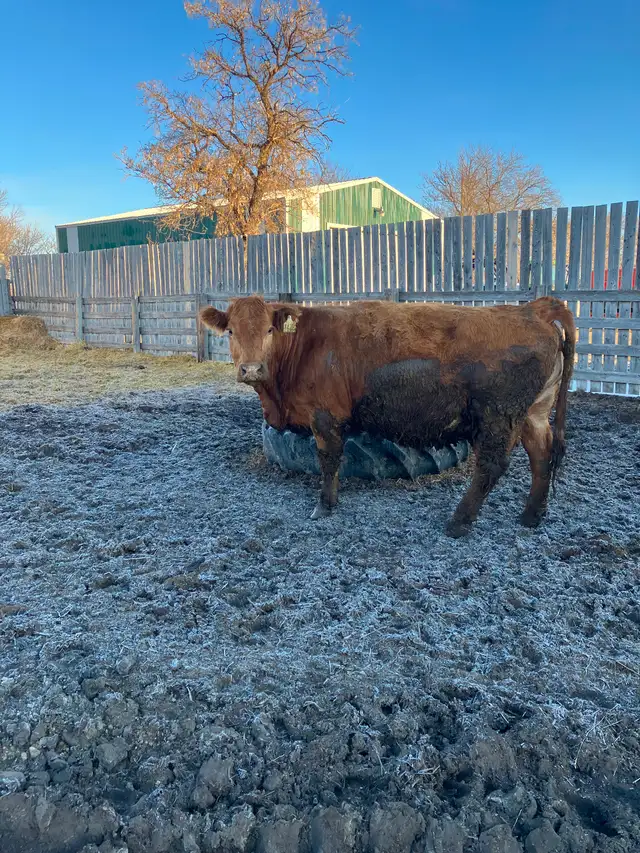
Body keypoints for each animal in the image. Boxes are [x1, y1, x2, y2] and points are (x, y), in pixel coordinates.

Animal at [200, 295, 576, 537]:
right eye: (231, 331)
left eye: (268, 330)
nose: (251, 369)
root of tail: (532, 310)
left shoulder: (324, 416)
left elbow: (329, 461)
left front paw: (325, 505)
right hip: (533, 414)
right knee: (541, 456)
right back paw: (531, 515)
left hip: (499, 417)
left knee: (492, 466)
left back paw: (459, 521)